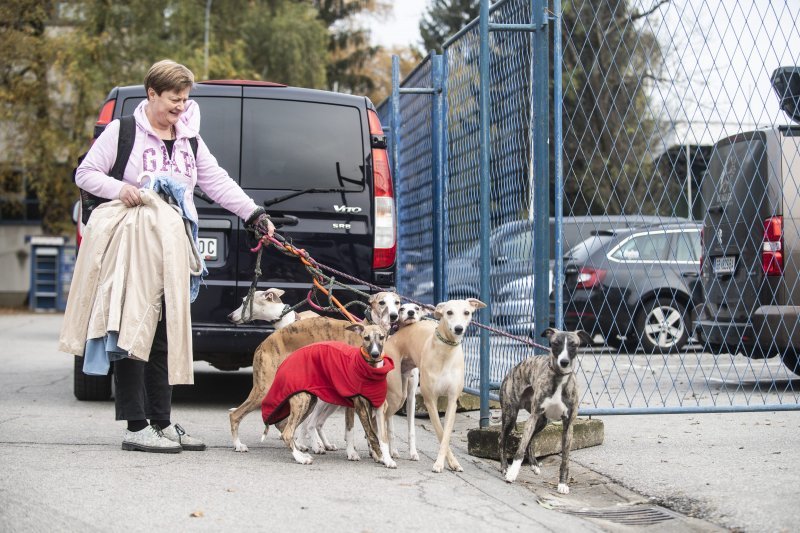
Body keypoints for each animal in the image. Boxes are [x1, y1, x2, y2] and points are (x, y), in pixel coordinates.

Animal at [260, 320, 396, 466]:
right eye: (366, 338)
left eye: (381, 337)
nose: (375, 354)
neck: (371, 370)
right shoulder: (360, 407)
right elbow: (370, 434)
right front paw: (378, 456)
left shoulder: (378, 407)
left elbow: (381, 437)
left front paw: (386, 458)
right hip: (304, 400)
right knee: (288, 432)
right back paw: (300, 457)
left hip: (311, 403)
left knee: (285, 426)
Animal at [382, 298, 488, 472]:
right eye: (449, 312)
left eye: (467, 312)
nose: (458, 329)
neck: (445, 351)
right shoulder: (430, 400)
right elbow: (439, 431)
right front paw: (440, 464)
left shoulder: (452, 400)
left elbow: (445, 435)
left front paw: (452, 463)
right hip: (397, 393)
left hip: (404, 391)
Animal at [500, 326, 592, 496]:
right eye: (555, 343)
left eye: (573, 345)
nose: (564, 362)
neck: (559, 378)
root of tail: (516, 367)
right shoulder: (533, 416)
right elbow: (520, 449)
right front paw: (512, 474)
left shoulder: (568, 426)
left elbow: (565, 459)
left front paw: (562, 484)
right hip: (511, 415)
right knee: (502, 439)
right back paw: (504, 467)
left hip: (542, 421)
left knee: (531, 440)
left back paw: (534, 465)